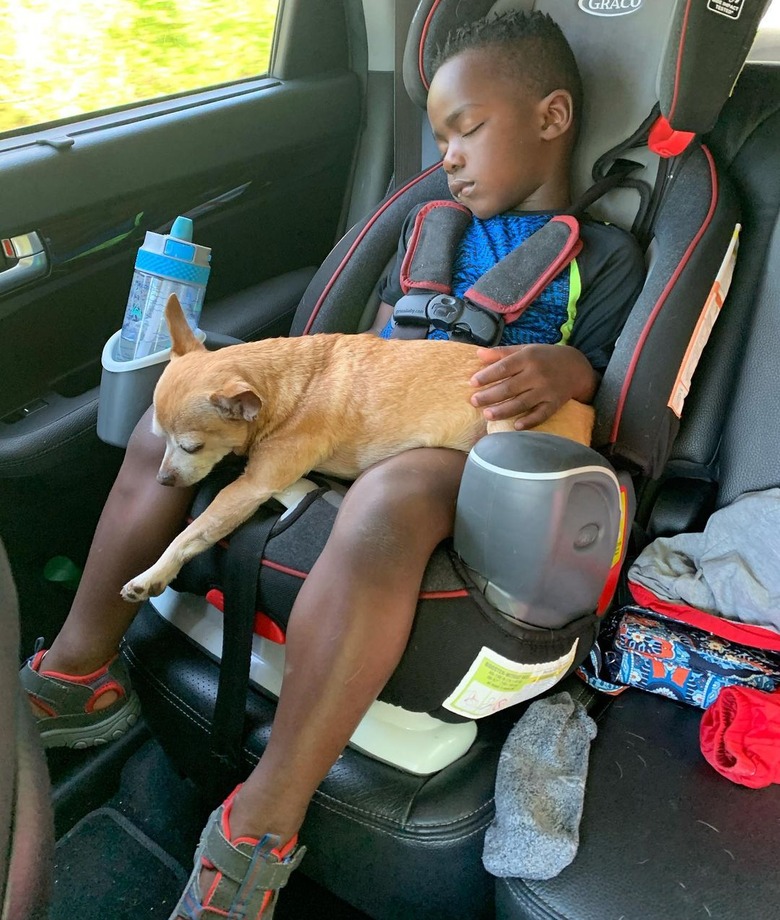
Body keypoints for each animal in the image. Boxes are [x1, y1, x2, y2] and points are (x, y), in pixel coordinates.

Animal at [120, 294, 592, 604]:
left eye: (191, 447)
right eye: (161, 441)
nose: (163, 479)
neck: (287, 387)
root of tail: (584, 413)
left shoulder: (252, 484)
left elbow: (193, 533)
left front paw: (151, 574)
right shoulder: (265, 477)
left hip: (503, 426)